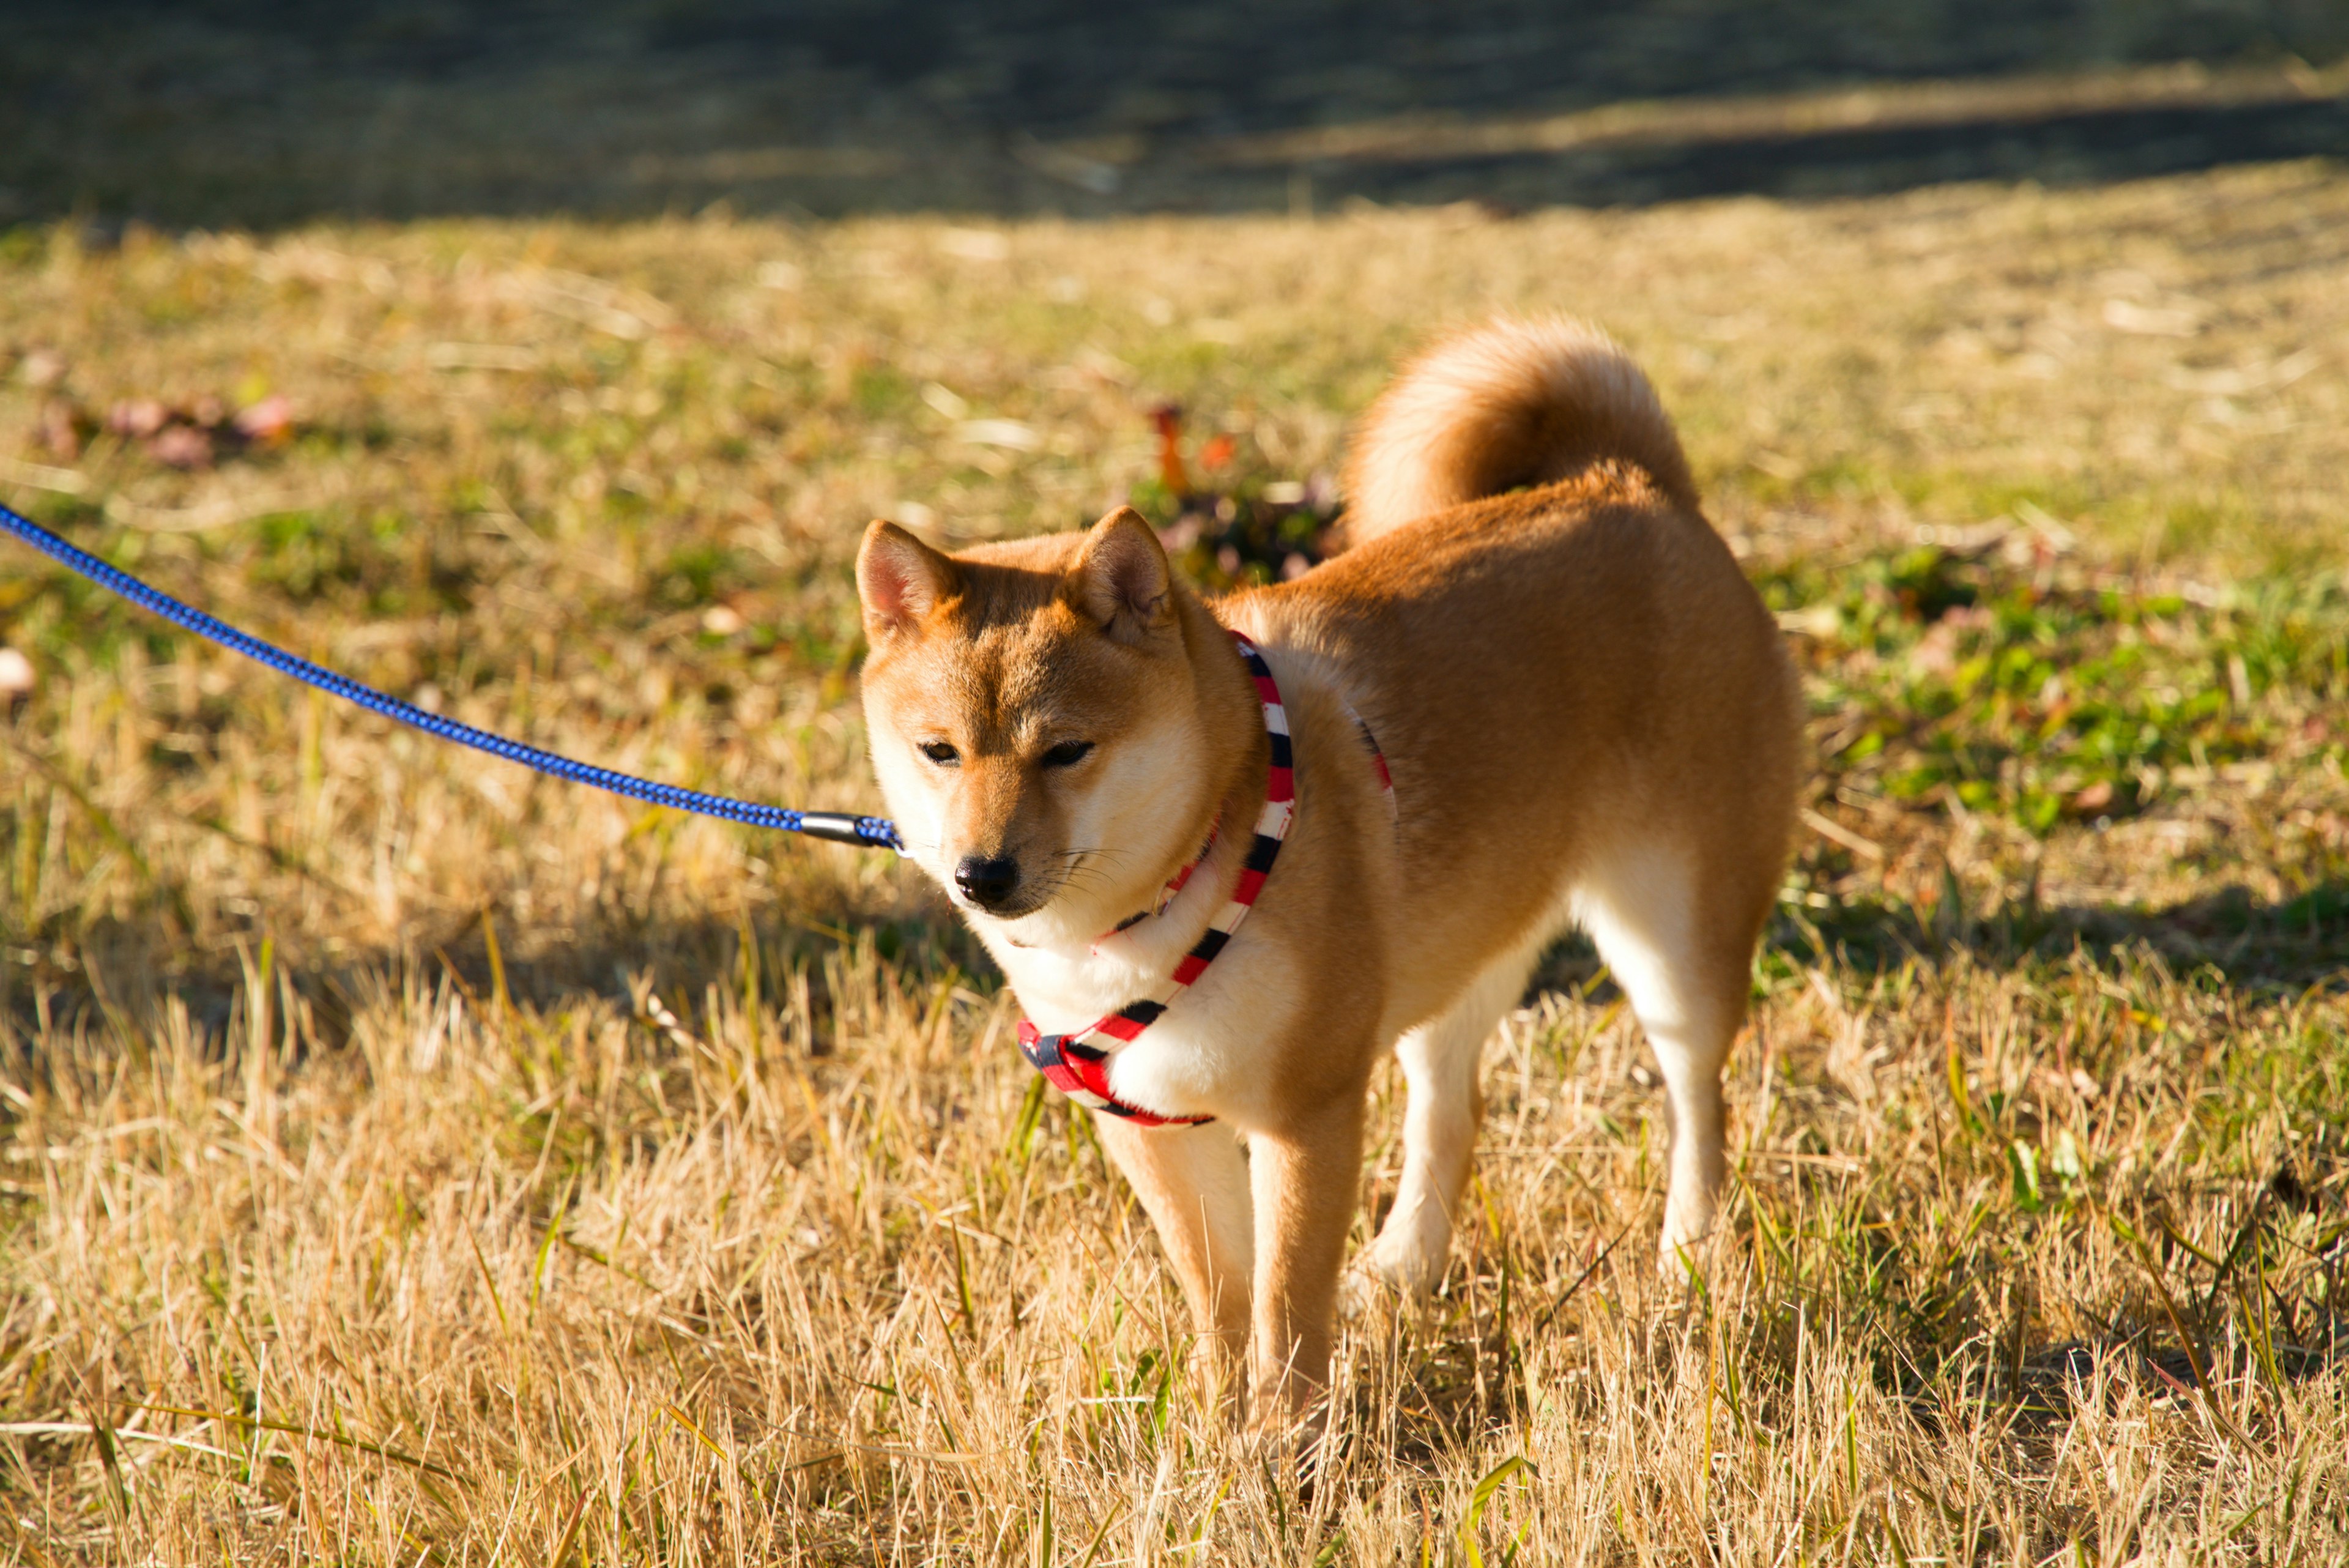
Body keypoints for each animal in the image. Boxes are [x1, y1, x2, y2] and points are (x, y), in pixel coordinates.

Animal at [859, 314, 1794, 1419]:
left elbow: (1286, 1309)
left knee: (1698, 1099)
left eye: (1067, 750)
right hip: (1457, 955)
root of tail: (1635, 486)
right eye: (939, 751)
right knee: (1453, 1113)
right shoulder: (1156, 1123)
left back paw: (1689, 1252)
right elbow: (1222, 1294)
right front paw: (1221, 1423)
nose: (981, 873)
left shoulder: (1308, 1115)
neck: (1172, 896)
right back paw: (1404, 1266)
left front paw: (1288, 1438)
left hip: (1673, 942)